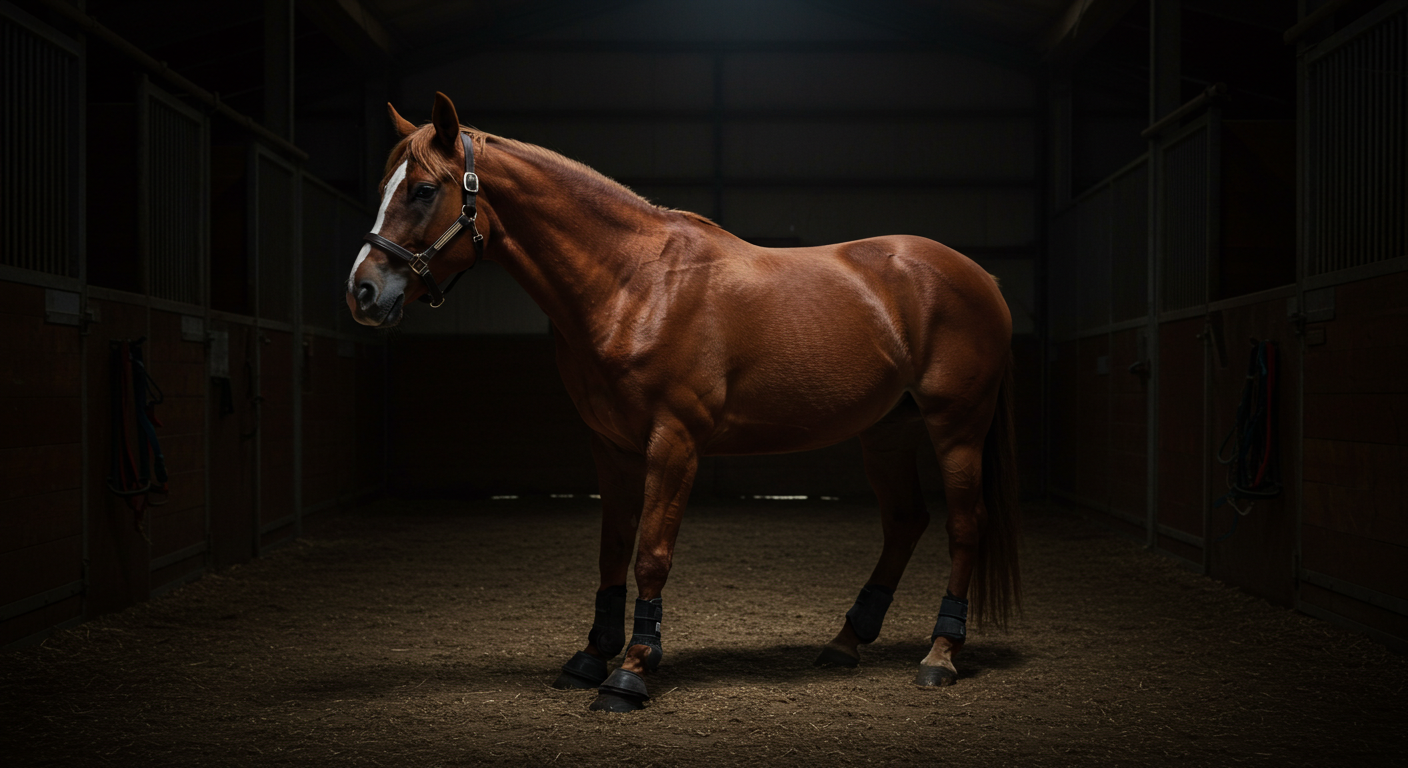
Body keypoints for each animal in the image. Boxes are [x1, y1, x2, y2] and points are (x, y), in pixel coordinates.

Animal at [347, 92, 1021, 713]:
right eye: (384, 188)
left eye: (423, 191)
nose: (363, 291)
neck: (636, 283)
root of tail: (979, 277)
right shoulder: (612, 447)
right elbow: (612, 550)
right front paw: (590, 658)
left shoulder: (674, 445)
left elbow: (650, 553)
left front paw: (631, 672)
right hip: (886, 433)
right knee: (905, 521)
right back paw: (846, 643)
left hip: (956, 428)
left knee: (965, 525)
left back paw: (940, 655)